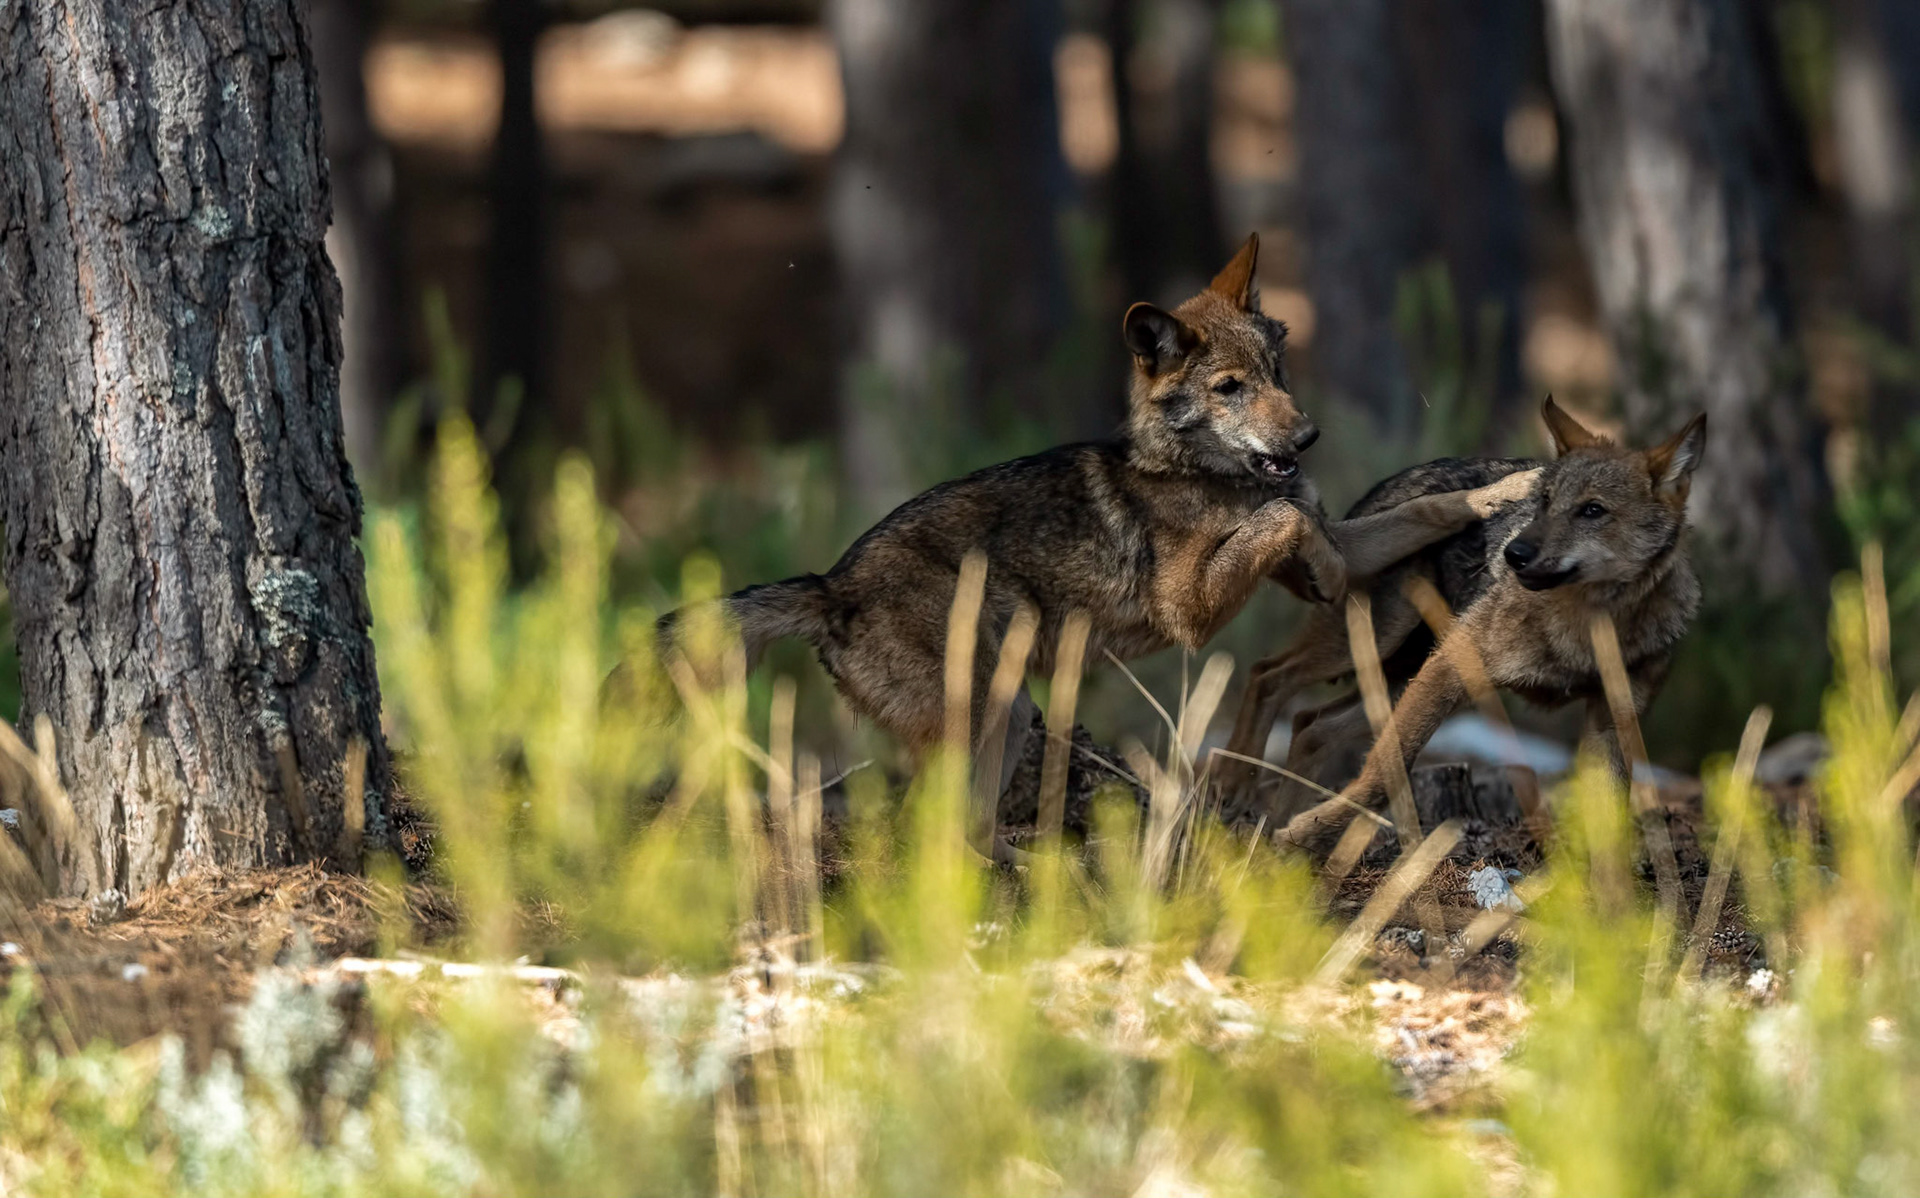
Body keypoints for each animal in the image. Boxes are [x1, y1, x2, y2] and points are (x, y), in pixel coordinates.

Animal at [662, 235, 1538, 856]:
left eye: (1276, 371)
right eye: (1229, 389)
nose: (1307, 438)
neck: (1196, 471)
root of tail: (830, 585)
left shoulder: (1345, 540)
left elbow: (1426, 506)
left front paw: (1509, 488)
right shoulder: (1192, 612)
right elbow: (1282, 525)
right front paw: (1320, 564)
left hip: (1010, 715)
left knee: (967, 832)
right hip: (983, 711)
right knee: (930, 833)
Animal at [1218, 398, 1706, 852]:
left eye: (1592, 511)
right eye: (1545, 502)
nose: (1514, 554)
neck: (1584, 628)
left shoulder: (1613, 720)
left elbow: (1607, 821)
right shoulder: (1450, 667)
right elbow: (1385, 769)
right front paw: (1305, 833)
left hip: (1402, 678)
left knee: (1309, 724)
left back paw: (1270, 829)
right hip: (1381, 647)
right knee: (1268, 675)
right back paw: (1238, 789)